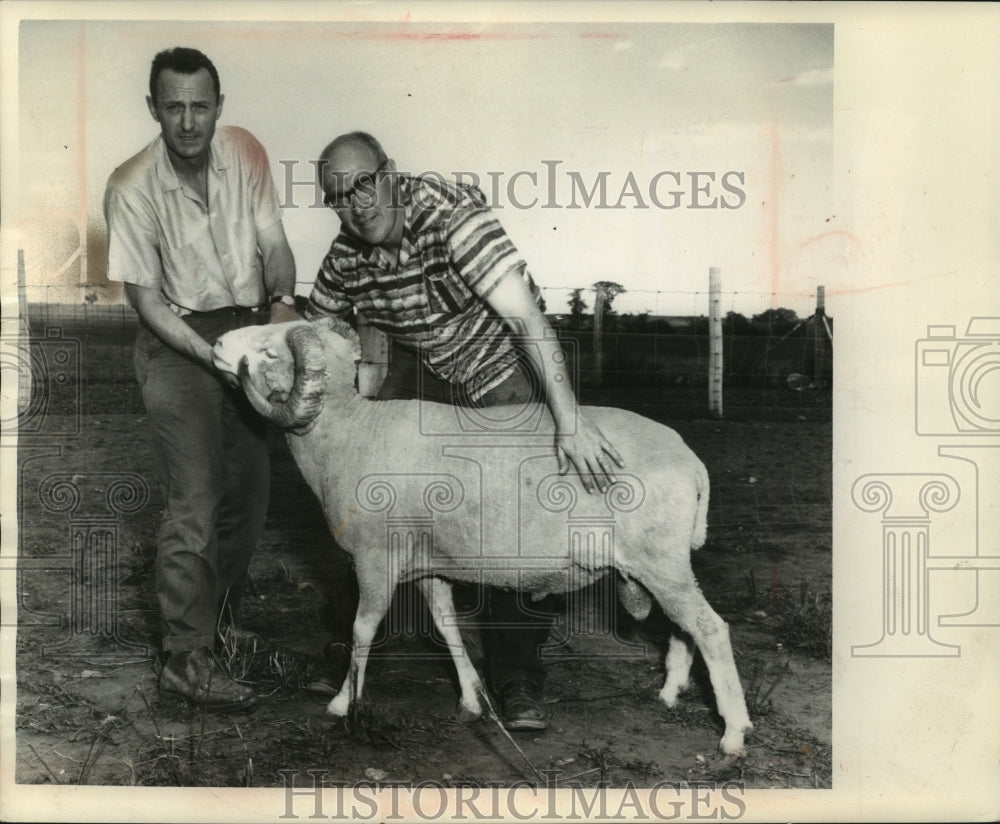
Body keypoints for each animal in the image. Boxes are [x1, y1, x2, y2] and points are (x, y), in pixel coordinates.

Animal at [215, 318, 752, 756]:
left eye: (269, 353)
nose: (220, 344)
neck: (348, 432)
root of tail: (690, 459)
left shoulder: (375, 558)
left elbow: (362, 629)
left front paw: (344, 702)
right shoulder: (429, 565)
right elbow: (447, 627)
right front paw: (472, 701)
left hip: (659, 562)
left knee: (710, 628)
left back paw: (734, 733)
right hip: (657, 567)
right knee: (683, 626)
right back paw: (669, 694)